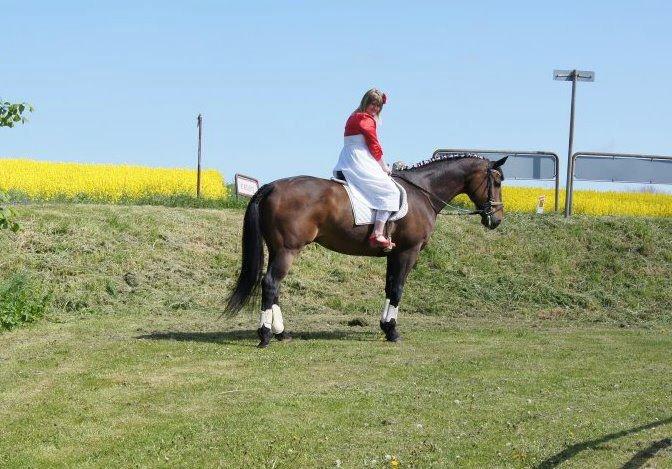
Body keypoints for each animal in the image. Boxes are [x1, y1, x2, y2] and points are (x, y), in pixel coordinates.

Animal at [223, 154, 506, 348]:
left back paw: (281, 332)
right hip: (287, 250)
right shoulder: (408, 252)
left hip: (278, 249)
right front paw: (392, 331)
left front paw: (385, 327)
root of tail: (272, 186)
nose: (496, 219)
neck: (422, 192)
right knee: (271, 283)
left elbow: (389, 287)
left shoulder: (394, 254)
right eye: (497, 180)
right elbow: (397, 289)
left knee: (274, 287)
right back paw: (265, 335)